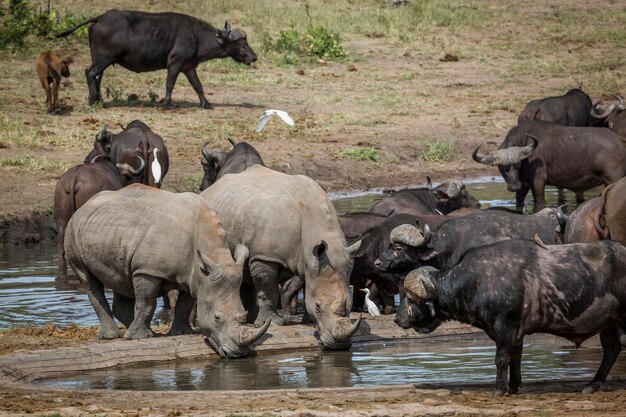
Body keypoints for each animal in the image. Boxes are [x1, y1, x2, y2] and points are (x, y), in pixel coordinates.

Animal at [55, 11, 256, 109]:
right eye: (241, 42)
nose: (254, 57)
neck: (196, 37)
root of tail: (101, 18)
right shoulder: (175, 64)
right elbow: (170, 84)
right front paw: (168, 104)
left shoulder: (189, 67)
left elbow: (198, 86)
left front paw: (206, 104)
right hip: (104, 58)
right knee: (90, 73)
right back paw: (95, 102)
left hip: (100, 59)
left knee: (97, 76)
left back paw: (97, 99)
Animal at [394, 239, 624, 394]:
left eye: (410, 298)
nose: (397, 319)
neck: (480, 280)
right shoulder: (517, 332)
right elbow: (516, 357)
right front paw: (513, 386)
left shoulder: (506, 325)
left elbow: (502, 358)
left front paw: (498, 389)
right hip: (609, 323)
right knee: (612, 350)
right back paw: (592, 384)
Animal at [470, 120, 624, 211]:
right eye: (503, 168)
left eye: (518, 165)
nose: (514, 186)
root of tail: (620, 140)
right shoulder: (524, 185)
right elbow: (519, 201)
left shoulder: (538, 183)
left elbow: (539, 202)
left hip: (613, 180)